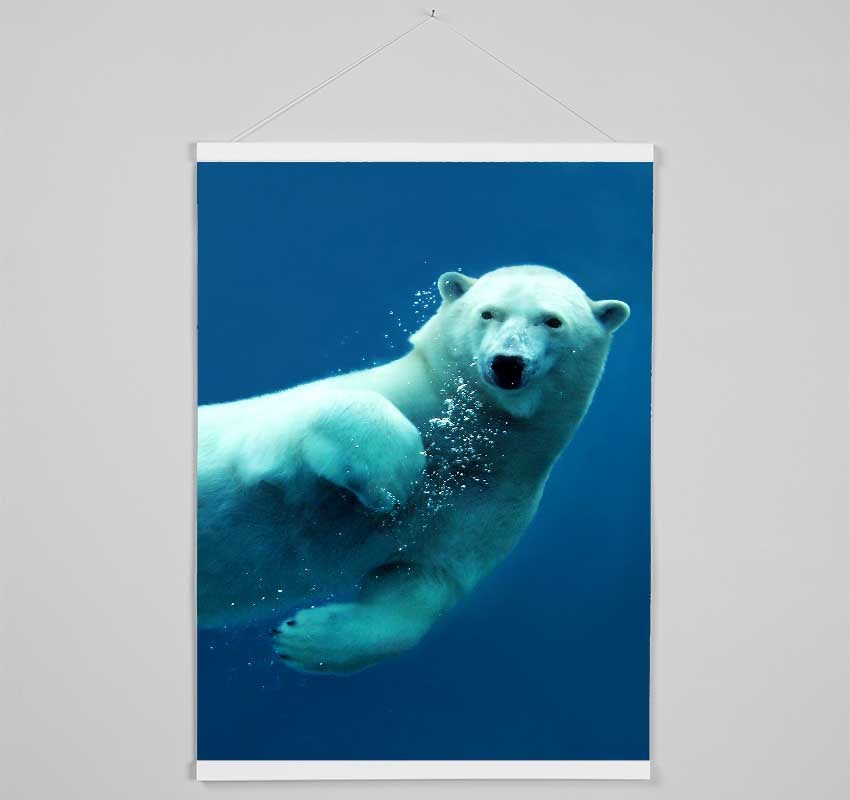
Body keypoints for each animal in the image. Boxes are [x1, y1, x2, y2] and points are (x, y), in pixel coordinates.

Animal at [197, 265, 629, 674]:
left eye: (553, 321)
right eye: (488, 313)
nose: (508, 364)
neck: (470, 432)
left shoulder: (494, 499)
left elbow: (421, 585)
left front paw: (301, 639)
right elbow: (297, 424)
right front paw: (396, 476)